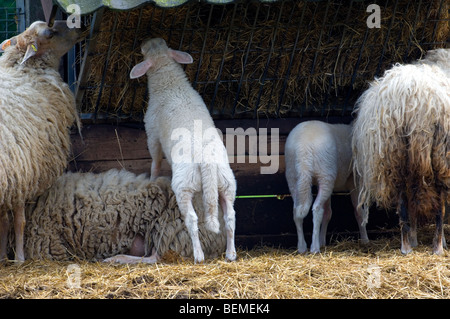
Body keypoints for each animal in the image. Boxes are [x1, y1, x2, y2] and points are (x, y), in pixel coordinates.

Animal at [0, 21, 83, 264]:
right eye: (50, 33)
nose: (80, 28)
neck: (25, 72)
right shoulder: (23, 167)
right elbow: (18, 221)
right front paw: (19, 258)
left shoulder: (14, 177)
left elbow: (4, 221)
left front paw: (3, 257)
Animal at [128, 37, 237, 264]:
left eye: (143, 52)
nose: (147, 41)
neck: (170, 82)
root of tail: (207, 162)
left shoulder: (152, 132)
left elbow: (155, 160)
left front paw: (152, 178)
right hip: (227, 183)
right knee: (230, 217)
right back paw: (231, 254)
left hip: (184, 186)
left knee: (192, 220)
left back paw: (199, 255)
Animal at [284, 121, 370, 254]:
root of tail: (303, 147)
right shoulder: (355, 181)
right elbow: (358, 211)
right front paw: (365, 239)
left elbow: (328, 213)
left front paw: (322, 240)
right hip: (326, 174)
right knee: (317, 209)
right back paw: (314, 247)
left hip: (293, 176)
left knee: (297, 211)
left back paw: (302, 247)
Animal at [354, 48, 448, 256]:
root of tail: (407, 95)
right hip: (438, 151)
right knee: (439, 202)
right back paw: (437, 246)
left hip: (394, 155)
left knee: (404, 200)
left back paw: (407, 245)